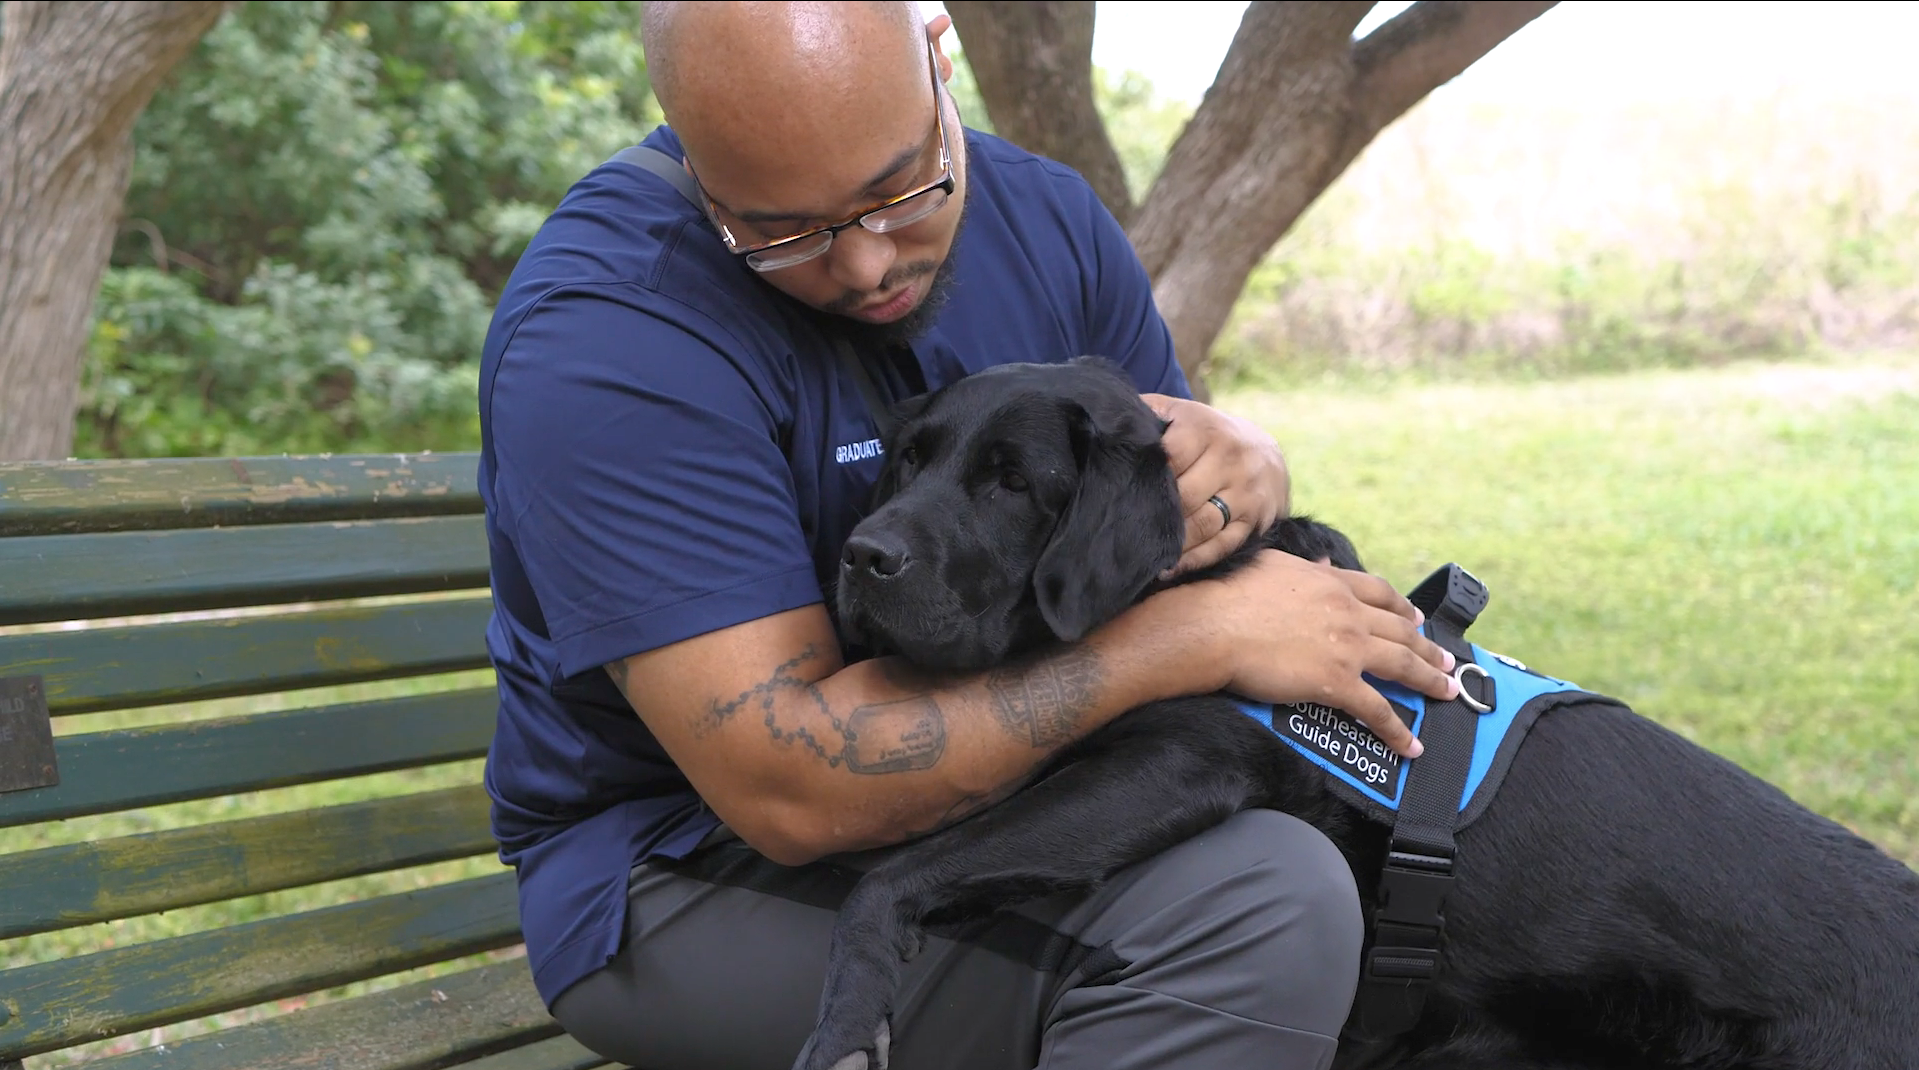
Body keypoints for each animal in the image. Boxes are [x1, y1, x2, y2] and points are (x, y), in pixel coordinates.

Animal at [786, 358, 1911, 1070]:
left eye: (1011, 482)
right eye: (909, 460)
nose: (863, 556)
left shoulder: (1170, 765)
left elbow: (889, 876)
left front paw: (842, 1019)